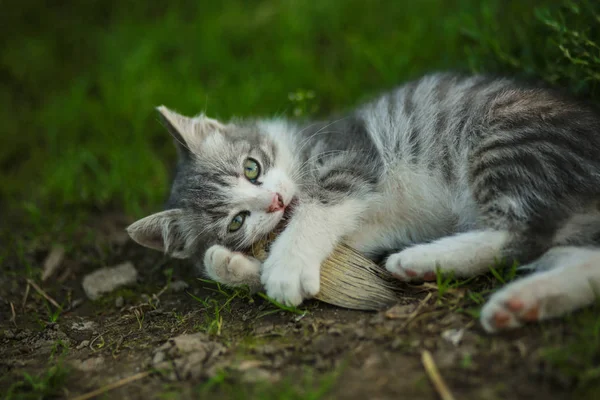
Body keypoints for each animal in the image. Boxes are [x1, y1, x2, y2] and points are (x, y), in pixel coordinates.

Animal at [129, 72, 600, 334]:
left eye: (251, 168)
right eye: (236, 221)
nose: (276, 201)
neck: (299, 153)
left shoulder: (349, 158)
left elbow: (317, 210)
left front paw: (285, 266)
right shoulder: (367, 228)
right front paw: (227, 262)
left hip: (506, 138)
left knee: (523, 235)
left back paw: (423, 259)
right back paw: (521, 301)